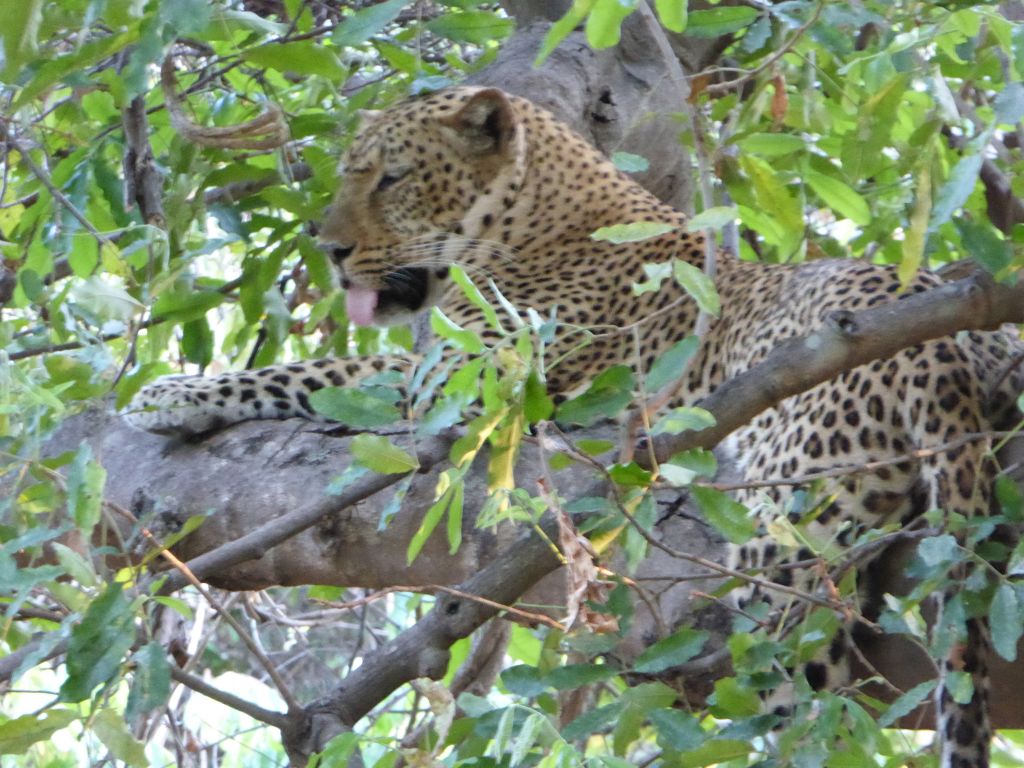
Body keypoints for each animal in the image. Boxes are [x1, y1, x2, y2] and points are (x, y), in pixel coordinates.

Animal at [126, 86, 1024, 767]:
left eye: (390, 179)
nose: (330, 249)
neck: (532, 218)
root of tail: (943, 351)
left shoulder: (467, 384)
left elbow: (313, 373)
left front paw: (166, 395)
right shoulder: (447, 364)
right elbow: (331, 371)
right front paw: (176, 393)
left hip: (784, 546)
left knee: (802, 706)